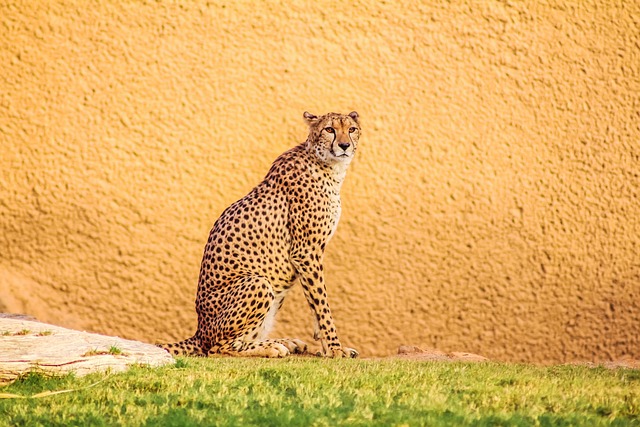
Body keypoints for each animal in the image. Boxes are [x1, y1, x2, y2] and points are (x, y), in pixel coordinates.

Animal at [159, 112, 360, 360]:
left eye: (351, 129)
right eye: (329, 130)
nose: (344, 145)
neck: (327, 165)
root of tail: (199, 331)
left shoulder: (308, 254)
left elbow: (315, 302)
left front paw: (325, 345)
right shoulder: (305, 251)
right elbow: (322, 303)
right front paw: (335, 348)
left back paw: (285, 342)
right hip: (259, 283)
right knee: (217, 349)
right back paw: (272, 347)